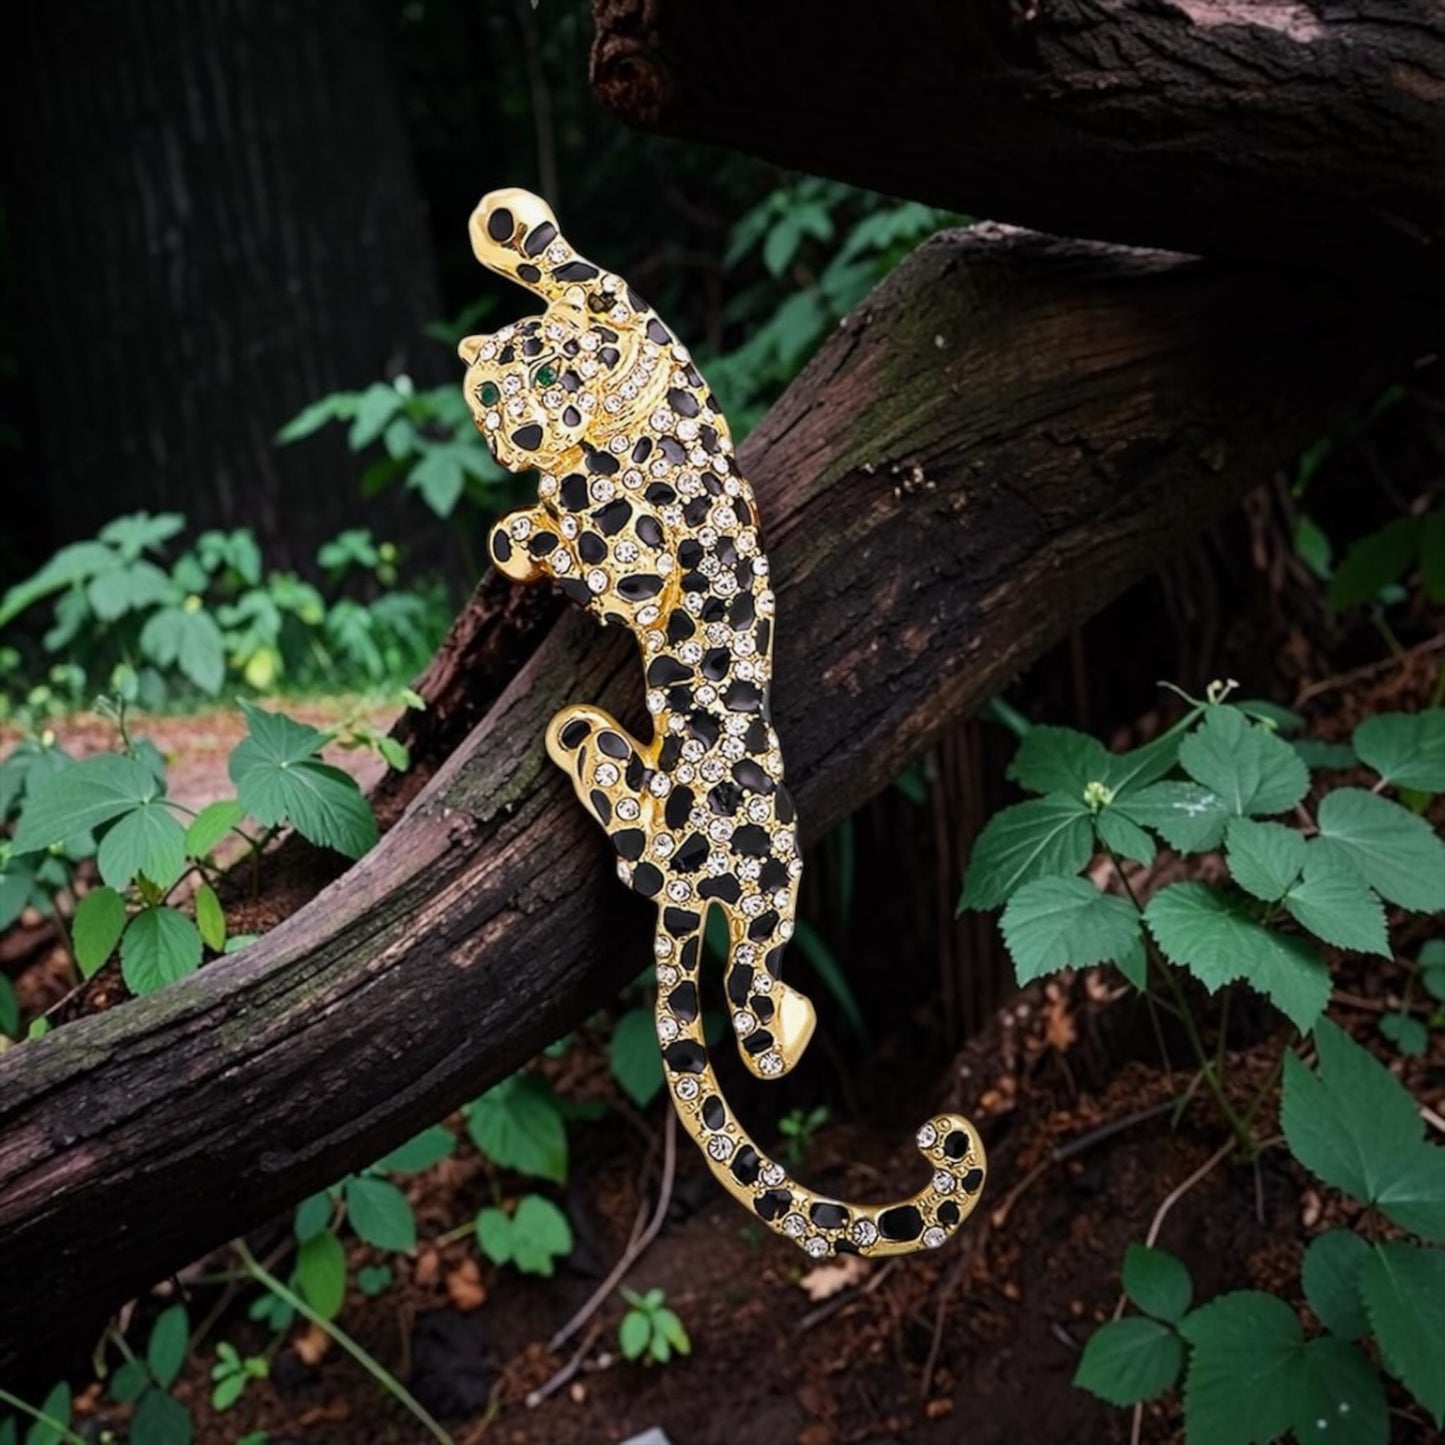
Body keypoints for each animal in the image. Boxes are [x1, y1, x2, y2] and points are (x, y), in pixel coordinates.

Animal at [458, 187, 986, 1258]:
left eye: (549, 378)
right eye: (495, 392)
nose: (516, 428)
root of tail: (684, 876)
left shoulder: (629, 553)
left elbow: (591, 286)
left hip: (765, 892)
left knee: (753, 1020)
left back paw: (790, 1020)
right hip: (679, 857)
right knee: (640, 848)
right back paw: (587, 751)